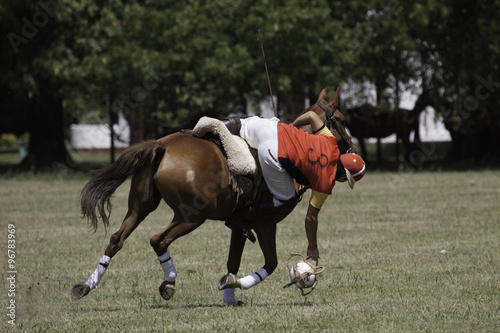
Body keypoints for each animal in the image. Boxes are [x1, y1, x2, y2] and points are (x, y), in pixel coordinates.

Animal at [70, 87, 356, 304]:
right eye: (342, 119)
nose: (351, 148)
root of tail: (161, 145)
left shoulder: (241, 225)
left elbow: (233, 260)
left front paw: (230, 293)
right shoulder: (264, 222)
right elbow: (271, 262)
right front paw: (235, 288)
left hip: (141, 206)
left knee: (117, 238)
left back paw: (86, 285)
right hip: (193, 215)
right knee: (158, 240)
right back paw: (168, 283)